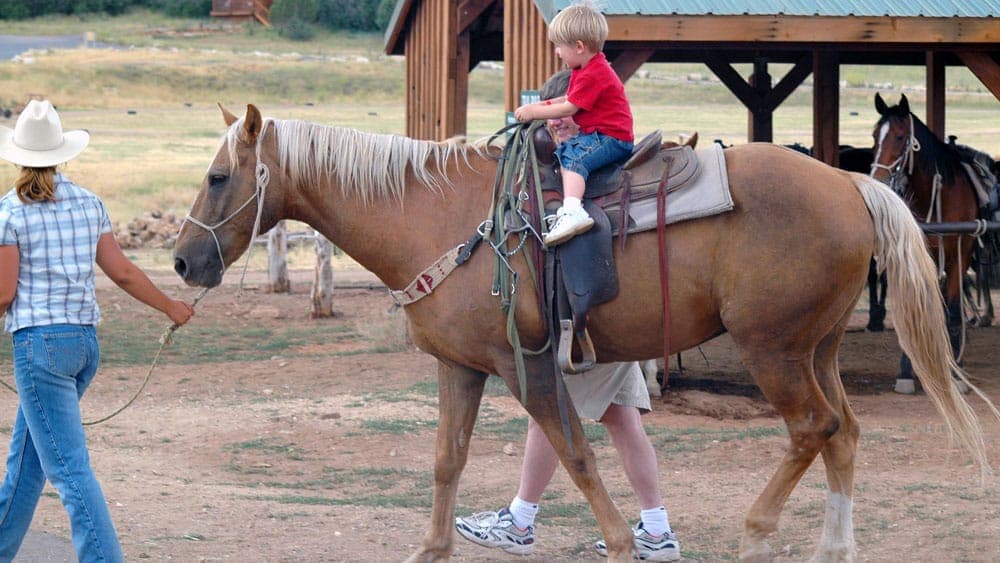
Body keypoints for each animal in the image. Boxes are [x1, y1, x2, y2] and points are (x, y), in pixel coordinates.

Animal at [871, 93, 984, 394]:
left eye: (900, 137)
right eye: (875, 136)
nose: (878, 180)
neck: (939, 196)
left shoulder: (961, 253)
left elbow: (953, 311)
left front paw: (956, 374)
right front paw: (906, 372)